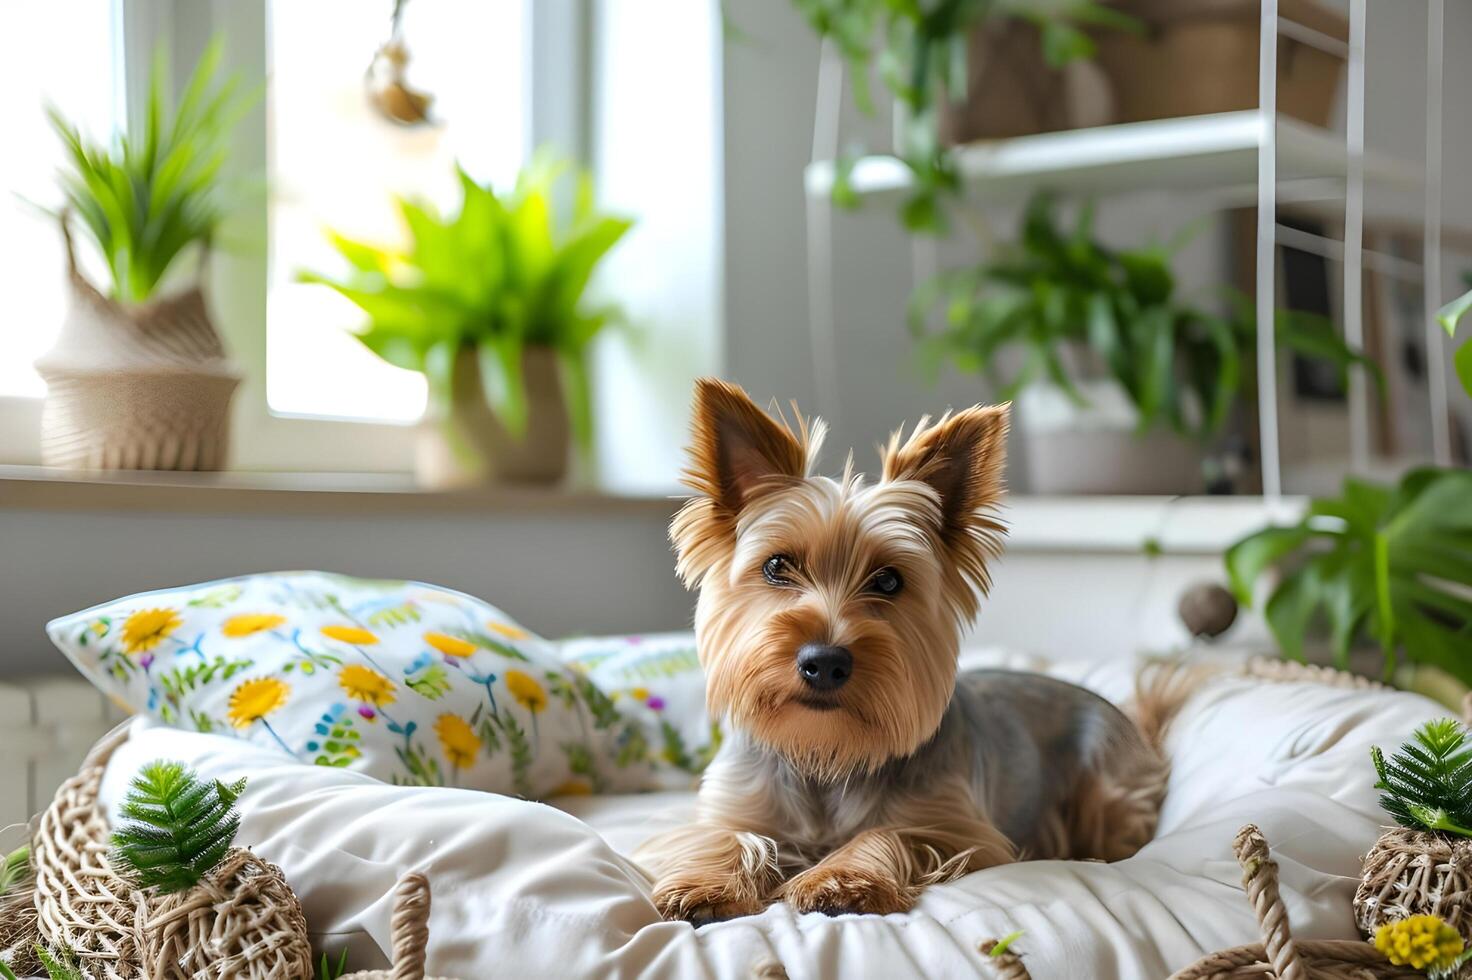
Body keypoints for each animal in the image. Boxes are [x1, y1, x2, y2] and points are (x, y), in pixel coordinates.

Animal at [638, 376, 1189, 918]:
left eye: (888, 580)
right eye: (776, 566)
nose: (825, 662)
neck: (824, 754)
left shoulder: (958, 830)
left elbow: (890, 832)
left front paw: (841, 876)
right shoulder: (730, 804)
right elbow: (722, 834)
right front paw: (706, 884)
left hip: (1108, 784)